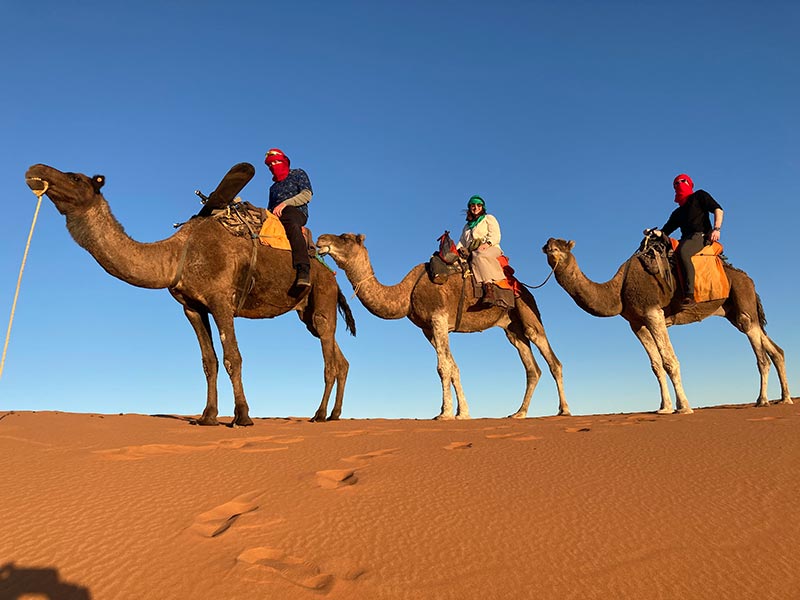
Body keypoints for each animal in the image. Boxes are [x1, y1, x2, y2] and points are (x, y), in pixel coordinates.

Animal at [25, 164, 356, 426]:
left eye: (75, 177)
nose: (35, 170)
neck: (179, 254)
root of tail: (331, 275)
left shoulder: (222, 301)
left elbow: (232, 358)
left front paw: (242, 416)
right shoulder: (192, 307)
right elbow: (208, 362)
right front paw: (207, 417)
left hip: (322, 297)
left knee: (328, 361)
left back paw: (318, 415)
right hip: (306, 314)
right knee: (338, 358)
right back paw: (334, 414)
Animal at [316, 233, 569, 419]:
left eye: (345, 237)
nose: (321, 239)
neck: (407, 293)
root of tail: (524, 288)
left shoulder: (438, 318)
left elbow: (443, 367)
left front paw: (445, 413)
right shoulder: (429, 329)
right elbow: (453, 367)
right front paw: (462, 413)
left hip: (529, 315)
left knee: (552, 360)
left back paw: (564, 410)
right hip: (511, 328)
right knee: (532, 369)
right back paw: (519, 413)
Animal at [542, 236, 793, 413]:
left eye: (563, 244)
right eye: (548, 243)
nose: (549, 245)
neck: (618, 290)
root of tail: (749, 279)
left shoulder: (653, 312)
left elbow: (670, 361)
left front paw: (684, 407)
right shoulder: (637, 323)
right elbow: (656, 366)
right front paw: (664, 408)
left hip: (743, 302)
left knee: (760, 353)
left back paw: (762, 400)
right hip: (733, 311)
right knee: (775, 350)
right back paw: (786, 399)